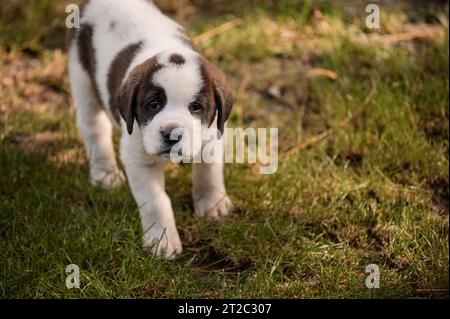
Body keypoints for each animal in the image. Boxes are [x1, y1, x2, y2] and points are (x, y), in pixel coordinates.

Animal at [69, 0, 236, 260]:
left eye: (196, 107)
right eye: (154, 104)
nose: (172, 134)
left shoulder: (212, 136)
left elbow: (209, 173)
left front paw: (213, 204)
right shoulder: (138, 157)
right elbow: (156, 201)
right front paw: (162, 241)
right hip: (82, 76)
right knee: (94, 128)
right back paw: (105, 174)